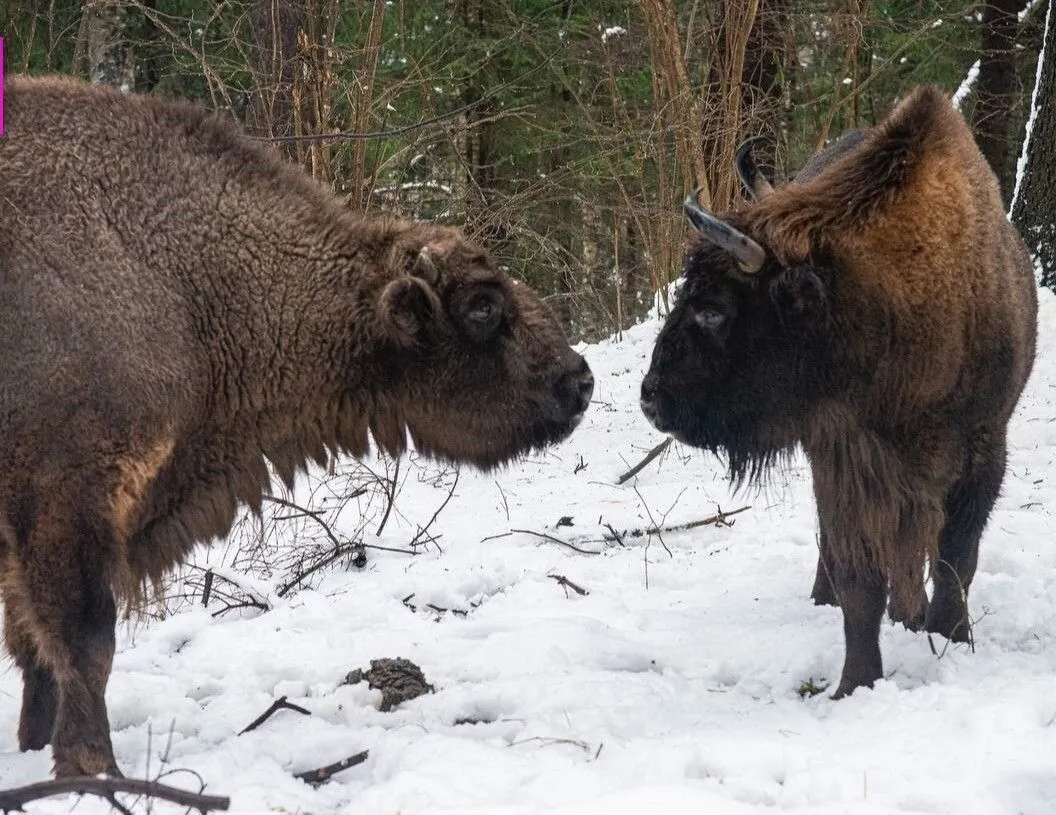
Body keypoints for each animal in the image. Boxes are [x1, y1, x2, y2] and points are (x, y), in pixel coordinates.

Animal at [0, 76, 595, 776]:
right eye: (482, 307)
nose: (578, 381)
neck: (187, 288)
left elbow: (36, 650)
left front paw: (37, 749)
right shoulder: (68, 497)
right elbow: (84, 642)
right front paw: (93, 769)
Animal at [637, 87, 1034, 700]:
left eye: (714, 309)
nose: (651, 398)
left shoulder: (984, 448)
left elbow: (955, 557)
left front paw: (952, 637)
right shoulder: (842, 457)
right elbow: (859, 579)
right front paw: (856, 683)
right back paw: (825, 597)